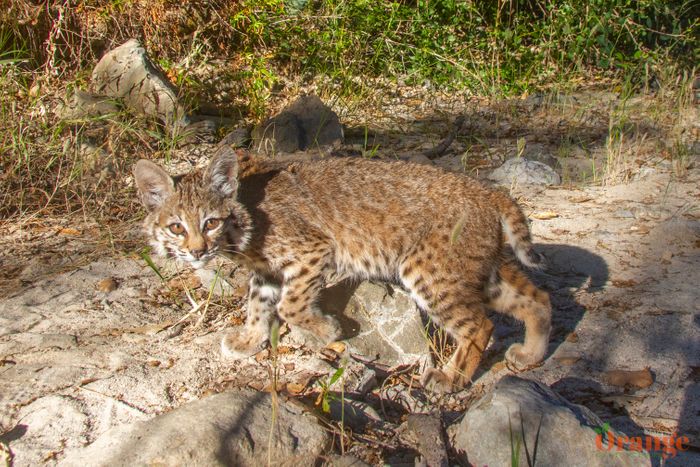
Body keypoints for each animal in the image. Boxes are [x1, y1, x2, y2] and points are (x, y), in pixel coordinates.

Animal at [135, 146, 552, 392]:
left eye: (210, 223)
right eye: (177, 227)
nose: (197, 252)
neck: (240, 224)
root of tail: (489, 190)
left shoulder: (313, 250)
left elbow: (289, 305)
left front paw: (327, 330)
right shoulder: (266, 270)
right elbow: (257, 305)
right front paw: (250, 340)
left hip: (431, 273)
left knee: (481, 325)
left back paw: (450, 378)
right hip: (476, 271)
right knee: (539, 299)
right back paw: (530, 355)